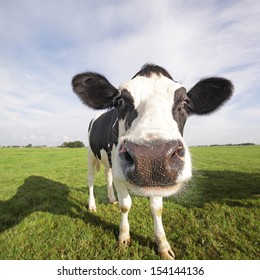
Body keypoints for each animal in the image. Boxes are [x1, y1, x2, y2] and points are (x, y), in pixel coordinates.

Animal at [71, 64, 234, 260]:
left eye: (185, 102)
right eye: (120, 101)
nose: (151, 156)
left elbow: (157, 208)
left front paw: (163, 245)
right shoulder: (119, 173)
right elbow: (125, 205)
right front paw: (123, 238)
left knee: (107, 175)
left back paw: (111, 198)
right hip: (91, 155)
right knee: (91, 180)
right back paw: (92, 205)